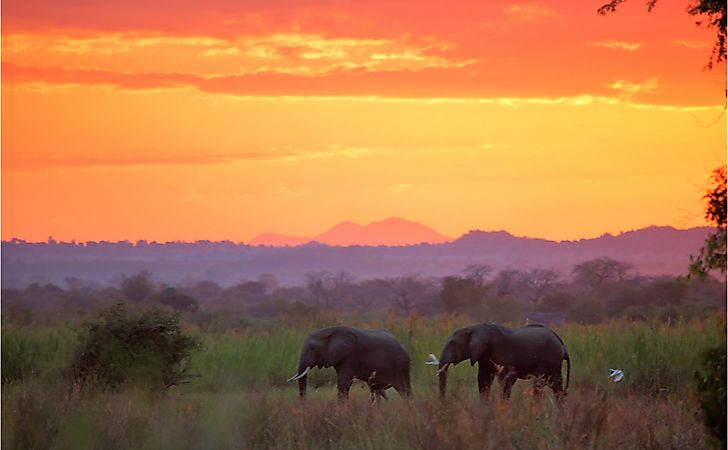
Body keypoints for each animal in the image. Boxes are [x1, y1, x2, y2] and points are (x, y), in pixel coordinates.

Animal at [436, 324, 572, 400]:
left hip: (549, 358)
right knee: (557, 386)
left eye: (453, 343)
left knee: (539, 383)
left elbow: (509, 379)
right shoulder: (483, 357)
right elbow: (484, 380)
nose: (444, 404)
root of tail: (563, 345)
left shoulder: (500, 350)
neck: (473, 328)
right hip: (555, 362)